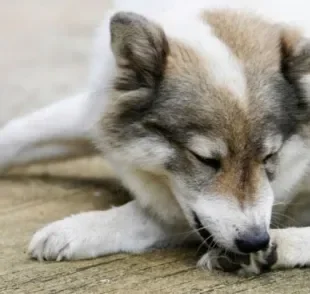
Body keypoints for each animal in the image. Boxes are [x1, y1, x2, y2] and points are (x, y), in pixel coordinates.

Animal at [1, 0, 310, 276]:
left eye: (270, 156)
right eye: (205, 159)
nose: (255, 241)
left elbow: (139, 216)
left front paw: (72, 230)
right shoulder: (96, 108)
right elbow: (19, 133)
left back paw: (275, 247)